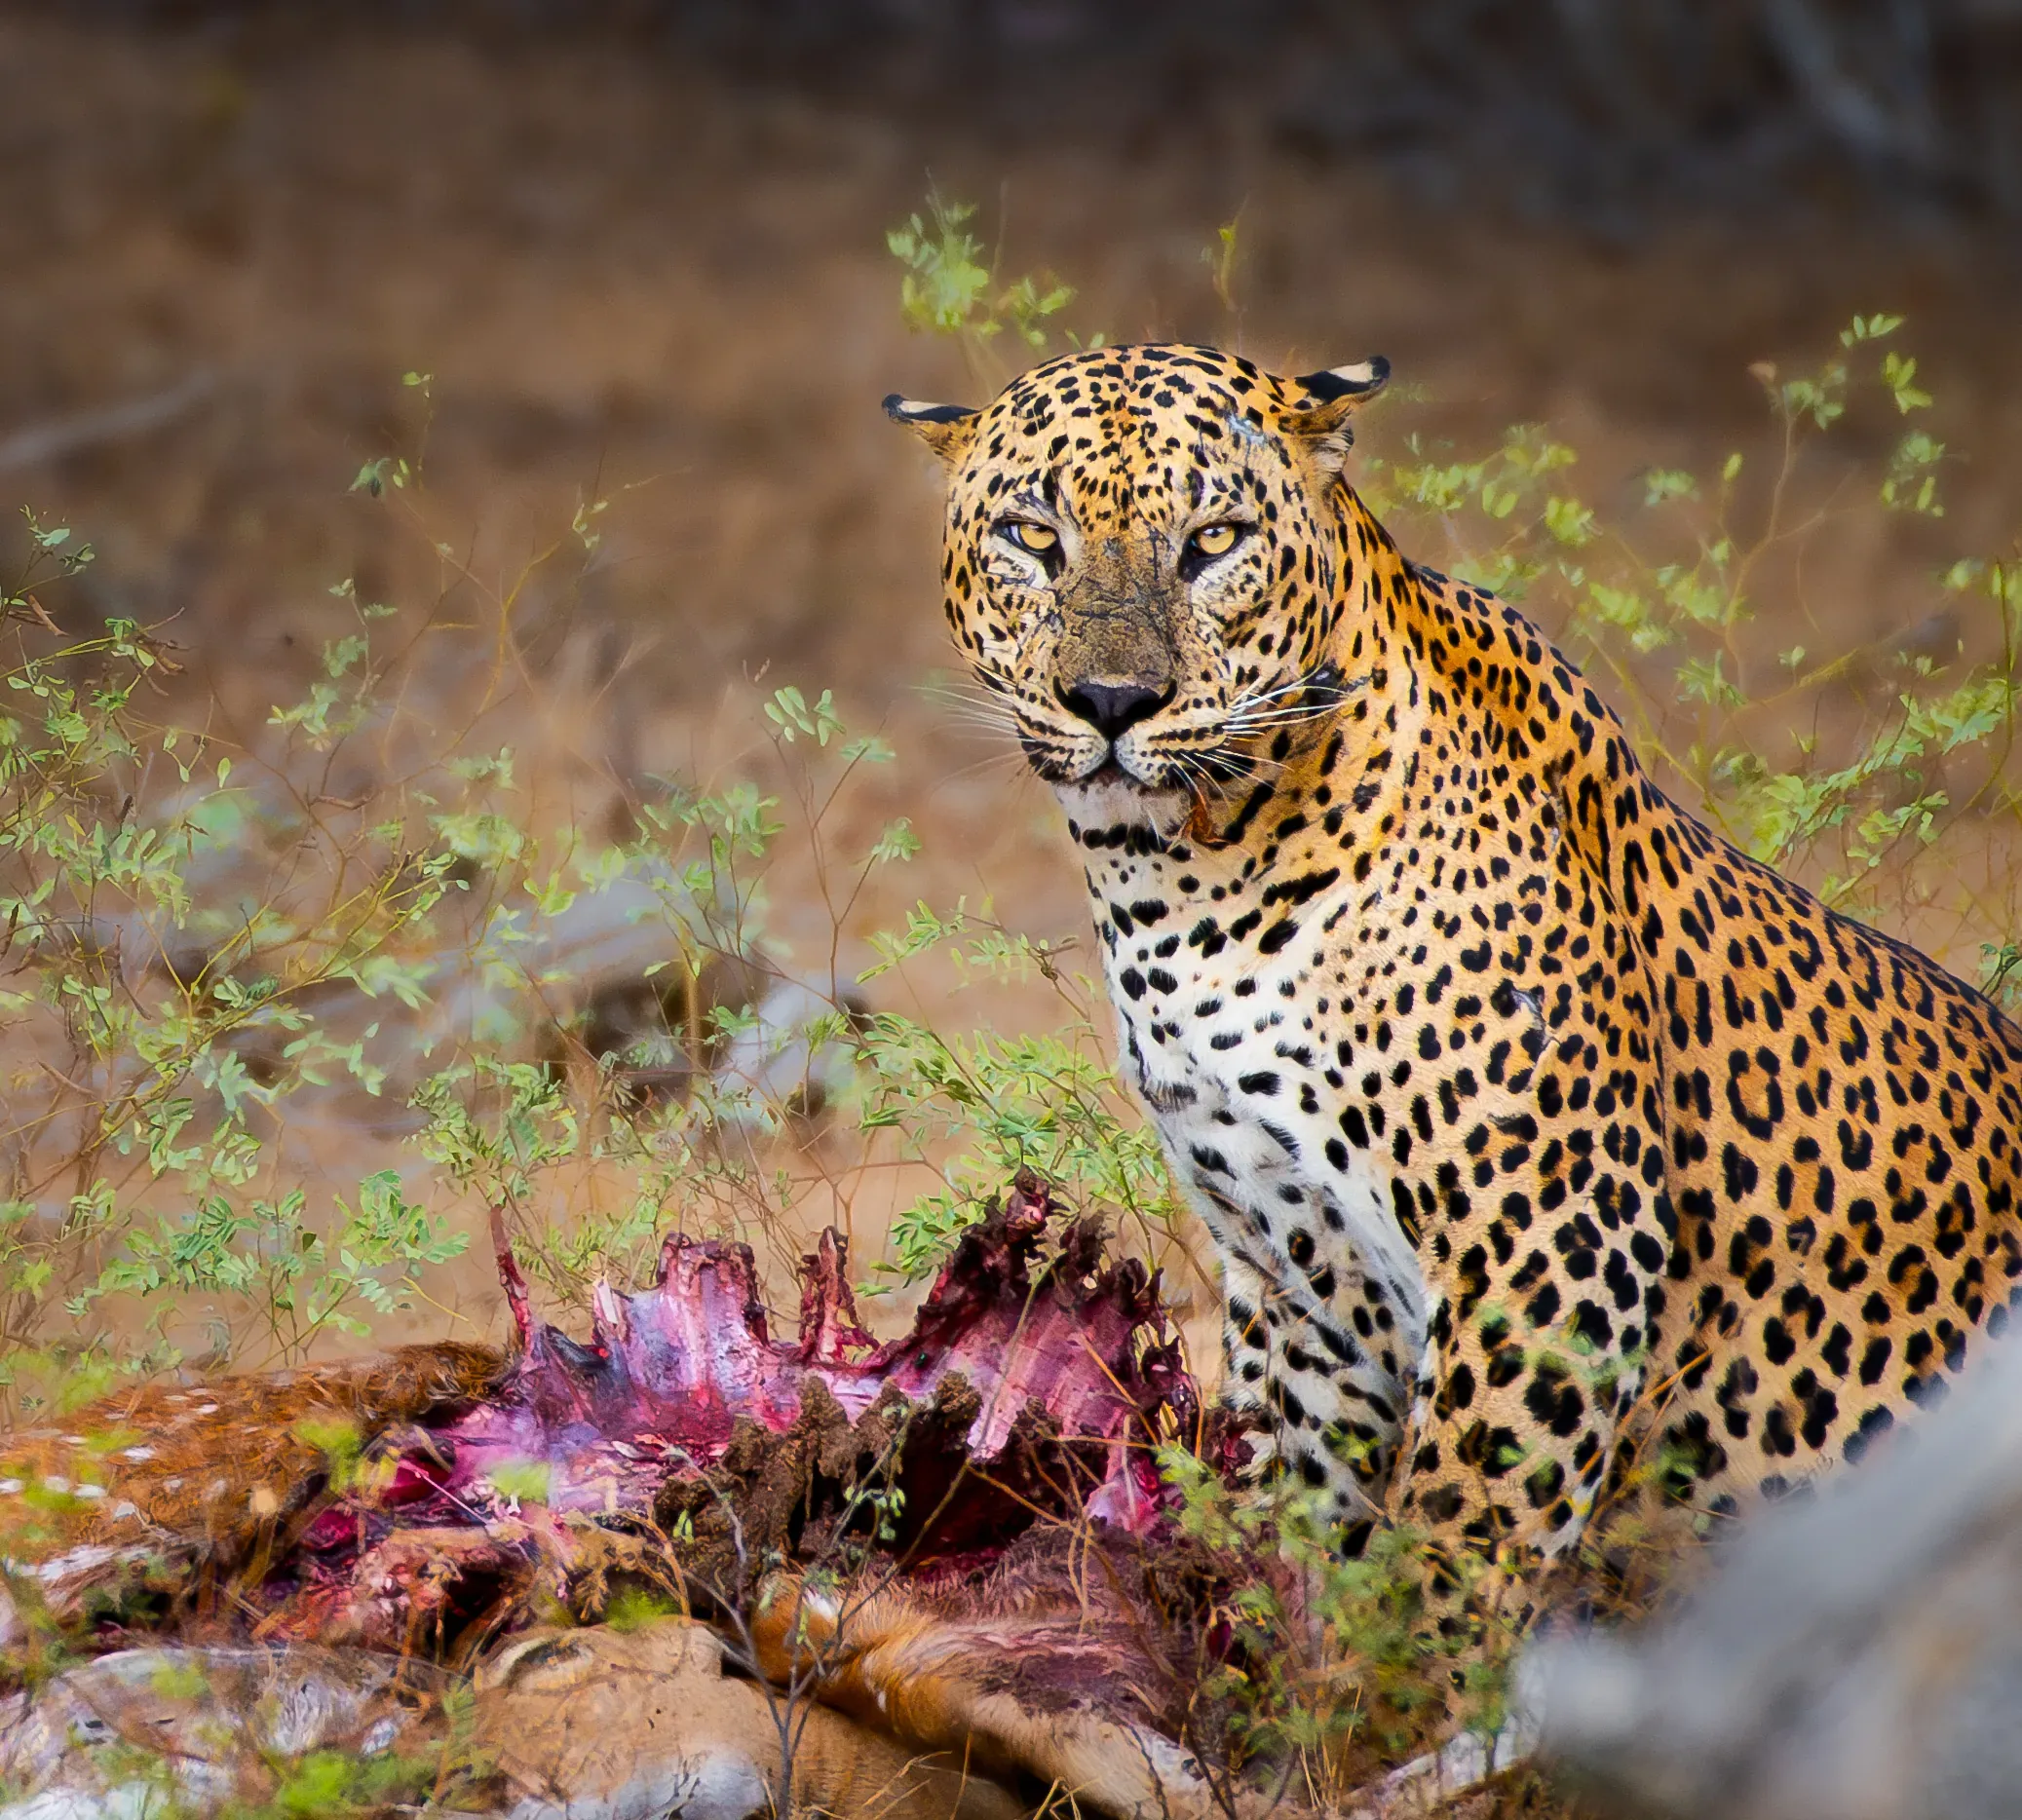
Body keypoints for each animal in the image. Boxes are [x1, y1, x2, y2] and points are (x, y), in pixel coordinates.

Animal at [885, 341, 2022, 1627]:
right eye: (1032, 537)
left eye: (1212, 539)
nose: (1113, 702)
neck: (1177, 879)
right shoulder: (1294, 1280)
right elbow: (1296, 1535)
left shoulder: (1552, 1245)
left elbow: (1451, 1551)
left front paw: (1402, 1677)